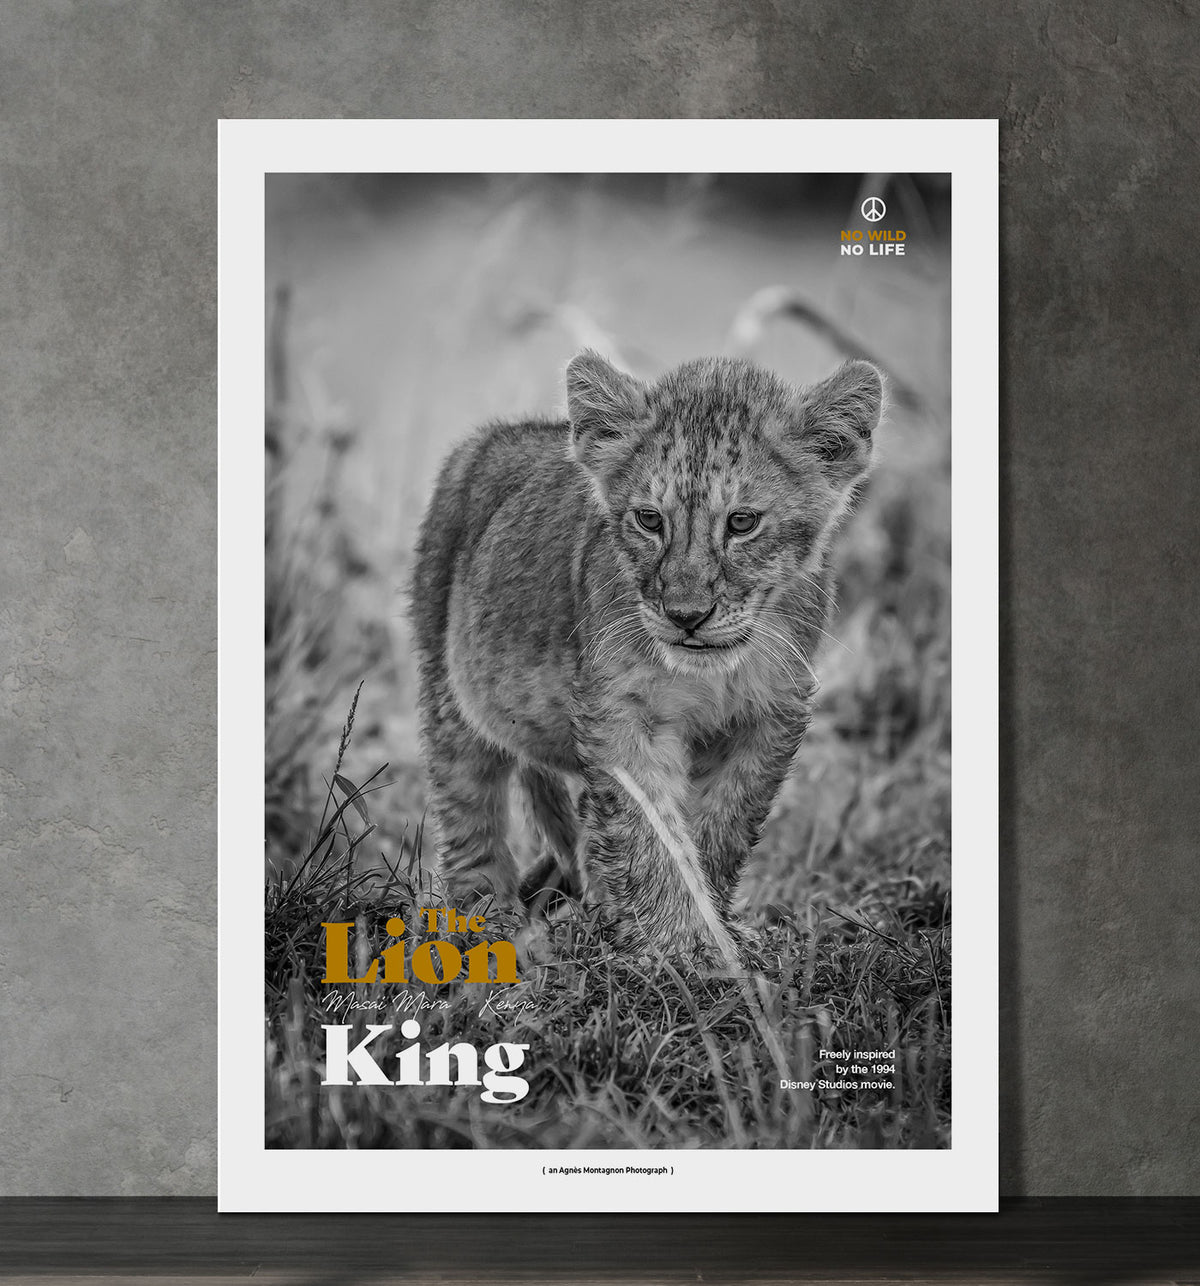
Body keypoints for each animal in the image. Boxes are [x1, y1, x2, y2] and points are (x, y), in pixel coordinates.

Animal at [410, 350, 882, 956]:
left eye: (743, 522)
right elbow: (651, 831)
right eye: (650, 519)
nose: (686, 615)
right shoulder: (620, 710)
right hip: (448, 687)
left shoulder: (769, 715)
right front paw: (675, 943)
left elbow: (720, 827)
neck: (711, 673)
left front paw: (707, 929)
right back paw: (486, 923)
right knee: (470, 810)